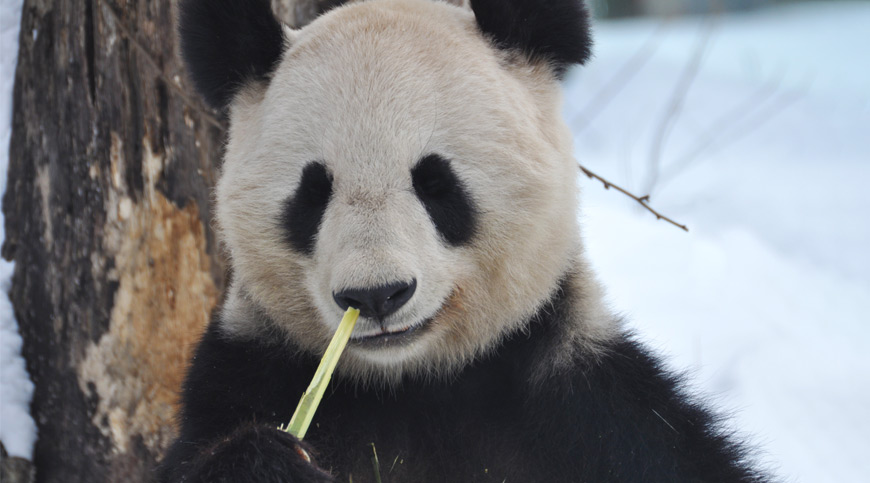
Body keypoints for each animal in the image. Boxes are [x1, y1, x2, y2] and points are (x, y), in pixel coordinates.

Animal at [164, 0, 768, 482]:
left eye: (436, 182)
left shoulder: (590, 407)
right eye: (312, 193)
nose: (376, 295)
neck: (414, 383)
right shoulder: (249, 374)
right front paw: (271, 464)